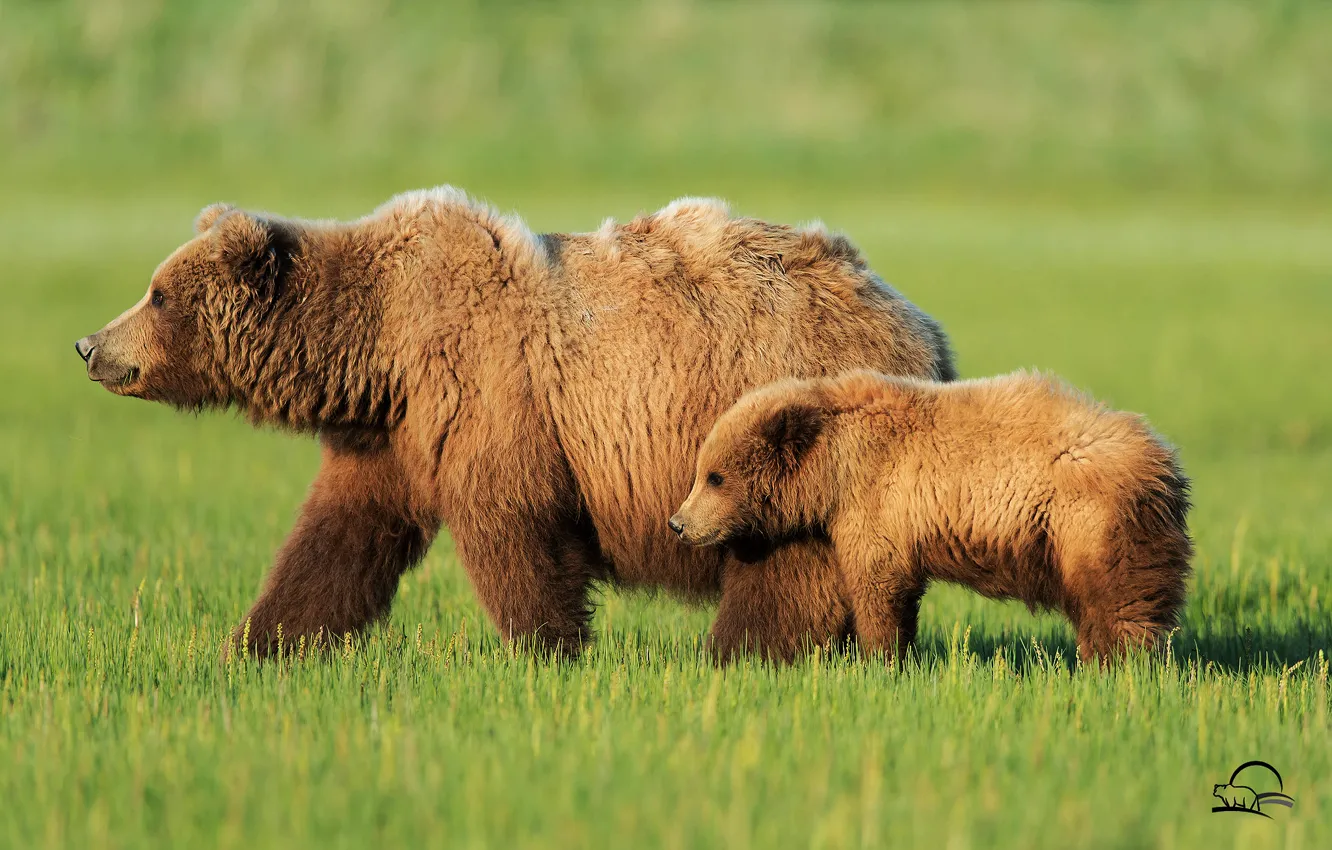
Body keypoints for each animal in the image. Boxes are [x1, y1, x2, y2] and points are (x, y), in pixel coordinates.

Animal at [73, 188, 954, 661]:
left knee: (783, 563)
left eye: (157, 294)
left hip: (779, 424)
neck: (379, 346)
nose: (89, 345)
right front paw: (259, 644)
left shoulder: (488, 392)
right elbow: (339, 539)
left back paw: (738, 654)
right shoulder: (393, 437)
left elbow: (513, 526)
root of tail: (925, 328)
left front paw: (548, 650)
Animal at [669, 369, 1192, 663]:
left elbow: (878, 585)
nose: (678, 523)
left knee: (1118, 603)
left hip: (1088, 523)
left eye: (714, 477)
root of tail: (1166, 466)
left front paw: (878, 658)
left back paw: (1115, 667)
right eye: (701, 472)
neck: (832, 467)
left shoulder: (875, 502)